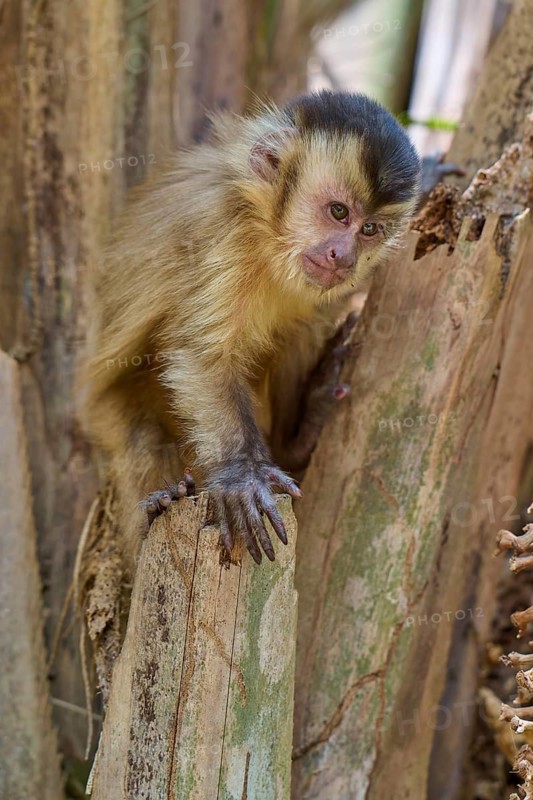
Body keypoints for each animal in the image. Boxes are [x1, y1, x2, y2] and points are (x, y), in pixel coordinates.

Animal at [79, 90, 421, 568]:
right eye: (338, 212)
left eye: (370, 229)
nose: (345, 256)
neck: (266, 232)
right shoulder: (224, 233)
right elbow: (203, 357)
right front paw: (241, 476)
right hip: (103, 410)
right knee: (142, 436)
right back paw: (161, 503)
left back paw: (297, 436)